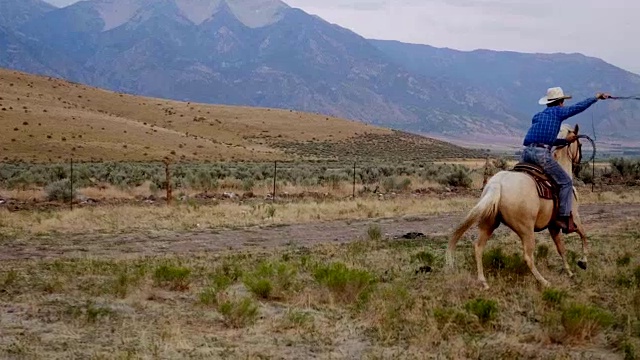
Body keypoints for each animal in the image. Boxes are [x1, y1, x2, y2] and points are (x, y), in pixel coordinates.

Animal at [444, 124, 592, 290]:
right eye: (580, 145)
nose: (579, 164)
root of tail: (498, 184)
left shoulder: (553, 226)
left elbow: (562, 249)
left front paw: (569, 272)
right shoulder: (574, 218)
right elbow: (583, 235)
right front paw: (583, 262)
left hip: (488, 224)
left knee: (478, 247)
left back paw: (483, 281)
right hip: (526, 230)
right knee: (528, 256)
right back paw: (544, 282)